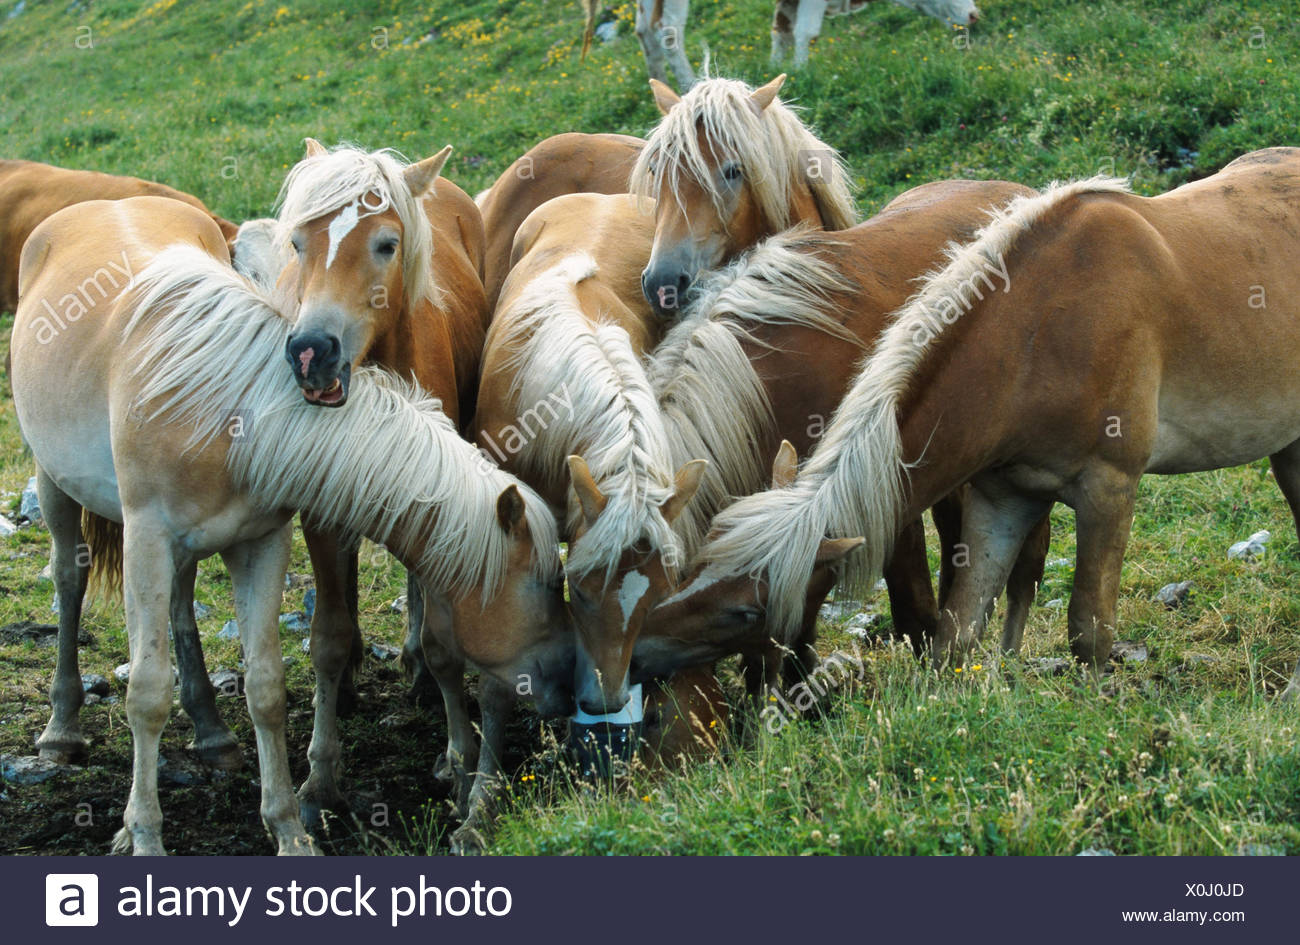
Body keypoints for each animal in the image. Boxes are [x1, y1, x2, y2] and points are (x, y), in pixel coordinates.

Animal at [10, 195, 569, 854]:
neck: (228, 413)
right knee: (68, 583)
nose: (564, 682)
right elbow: (146, 692)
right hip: (55, 486)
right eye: (544, 584)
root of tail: (107, 201)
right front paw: (143, 834)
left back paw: (212, 731)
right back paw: (62, 729)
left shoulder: (260, 544)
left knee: (181, 601)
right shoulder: (146, 539)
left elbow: (267, 689)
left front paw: (287, 828)